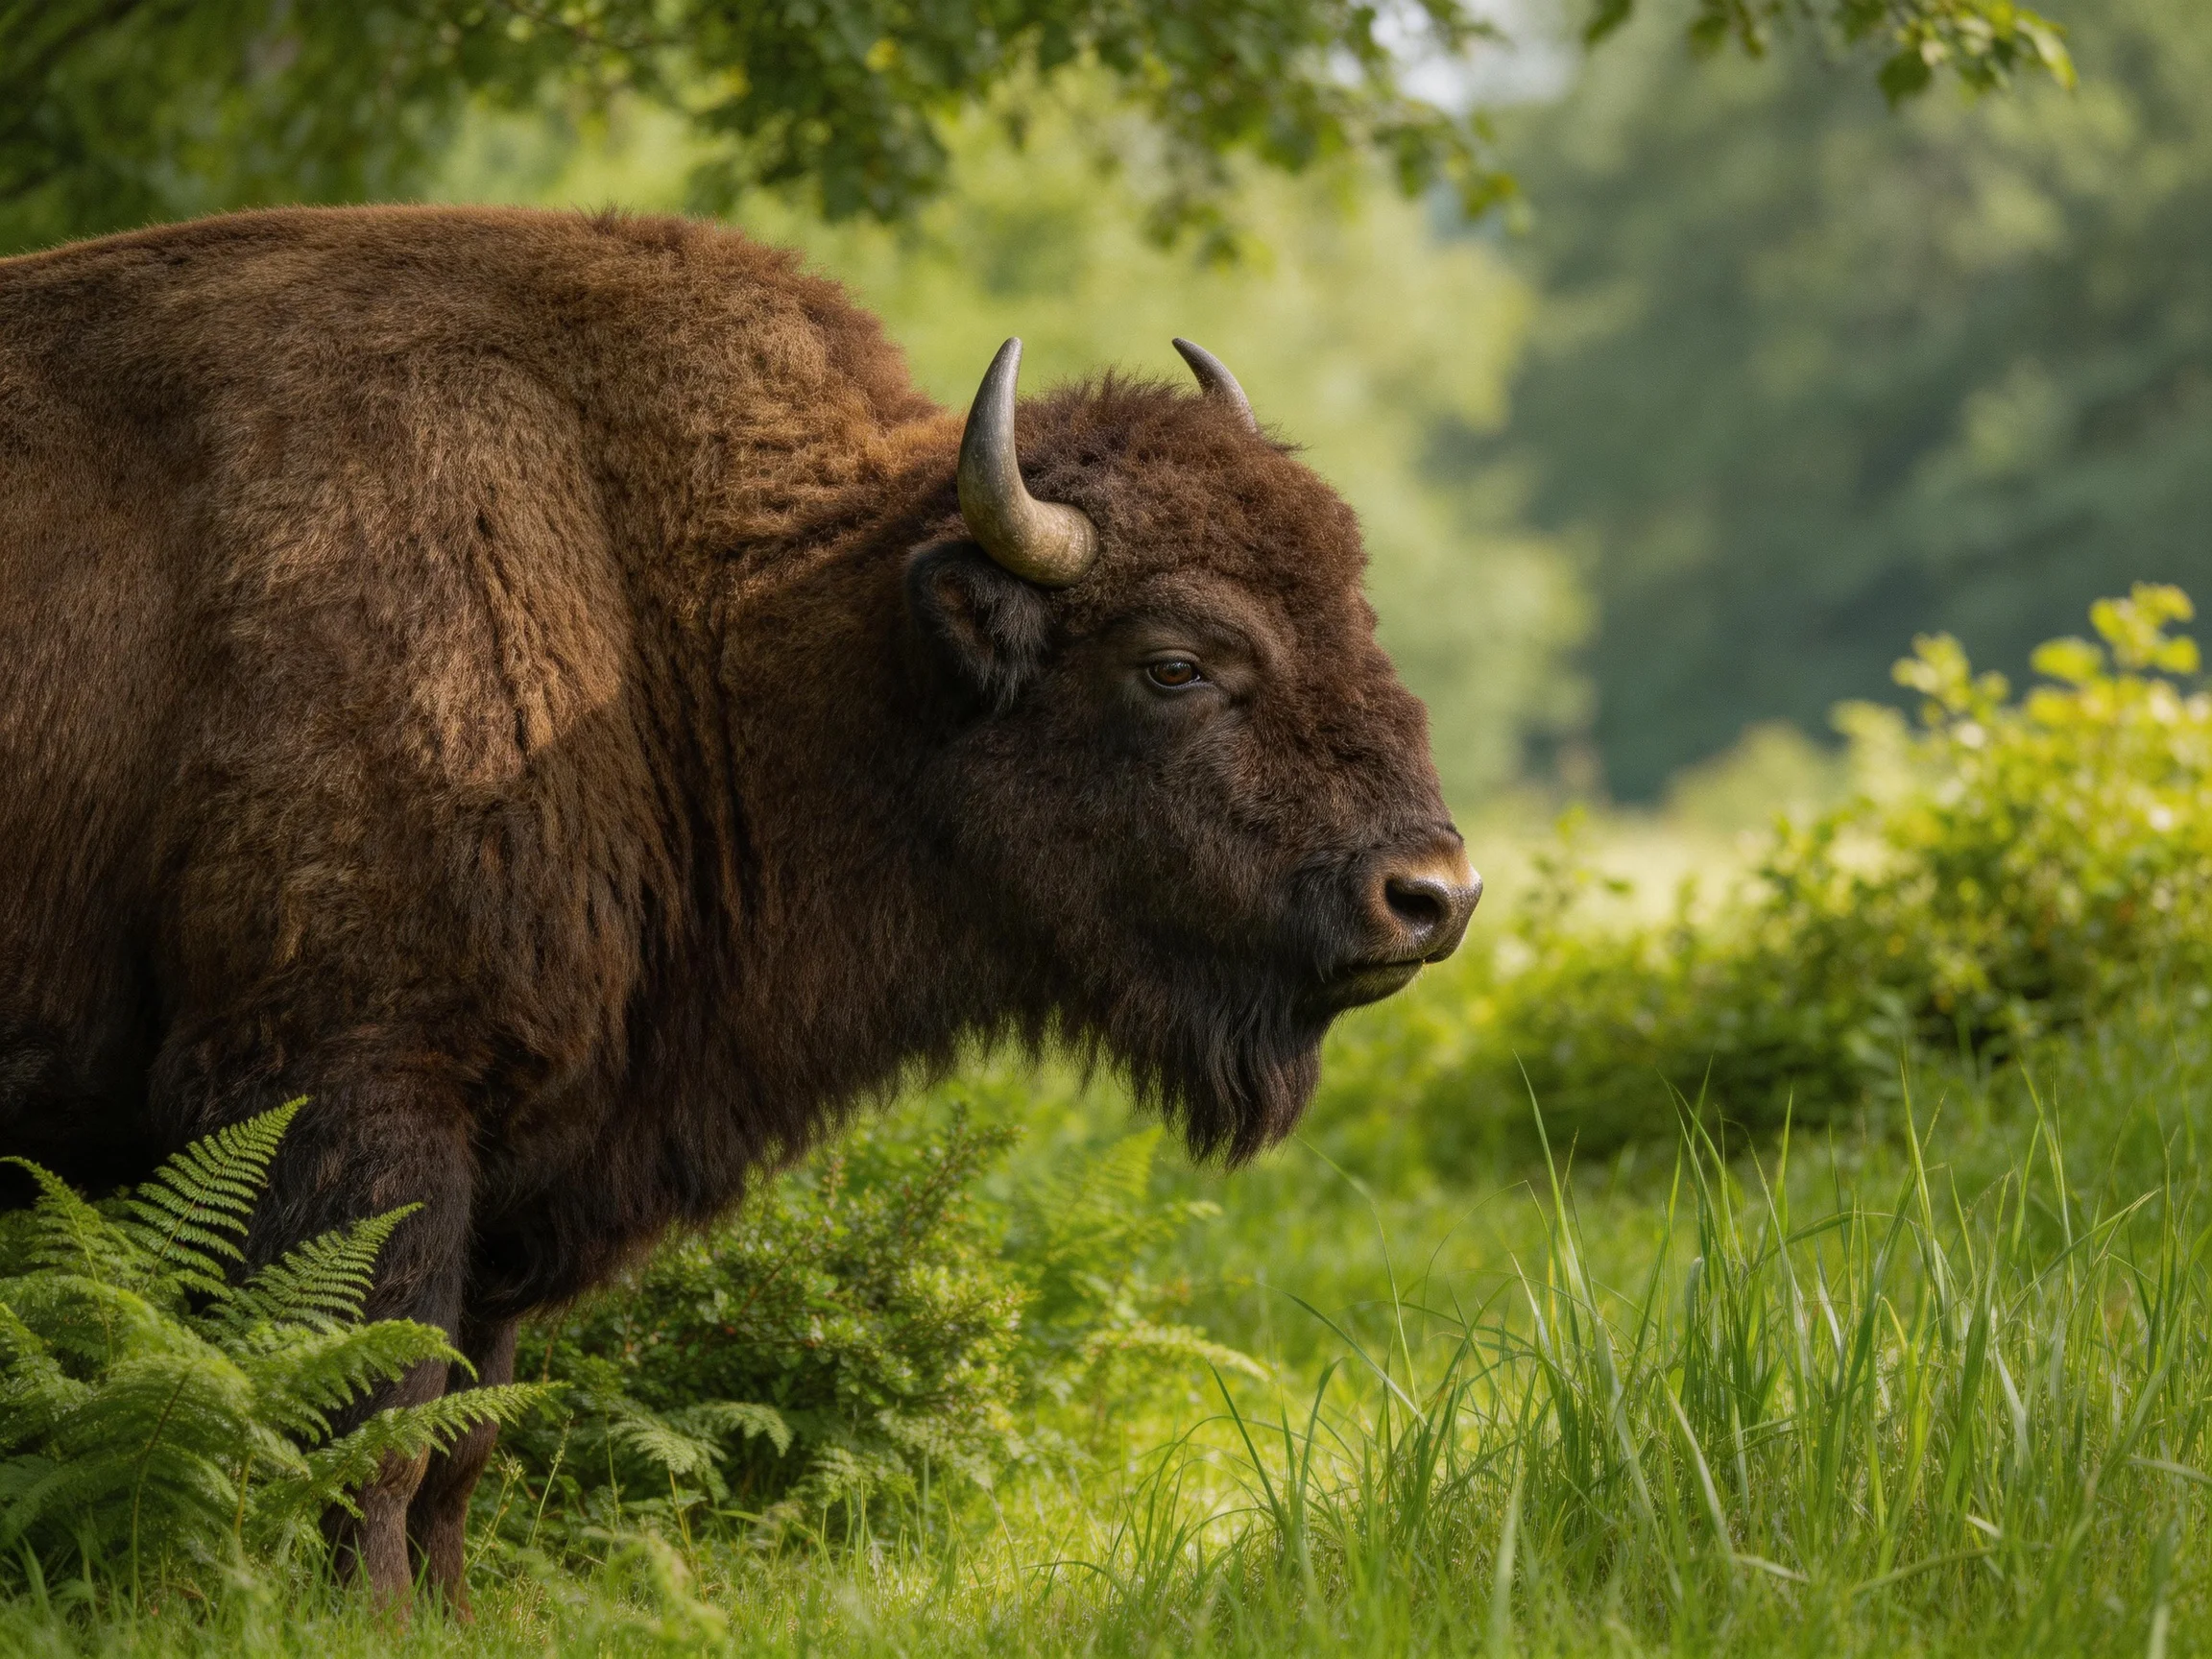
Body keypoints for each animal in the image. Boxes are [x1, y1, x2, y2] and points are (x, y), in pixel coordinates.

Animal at [0, 206, 1479, 1602]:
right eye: (1175, 662)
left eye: (1356, 607)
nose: (1431, 895)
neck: (687, 613)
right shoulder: (359, 1094)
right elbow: (375, 1424)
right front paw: (364, 1618)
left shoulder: (520, 1176)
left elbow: (462, 1443)